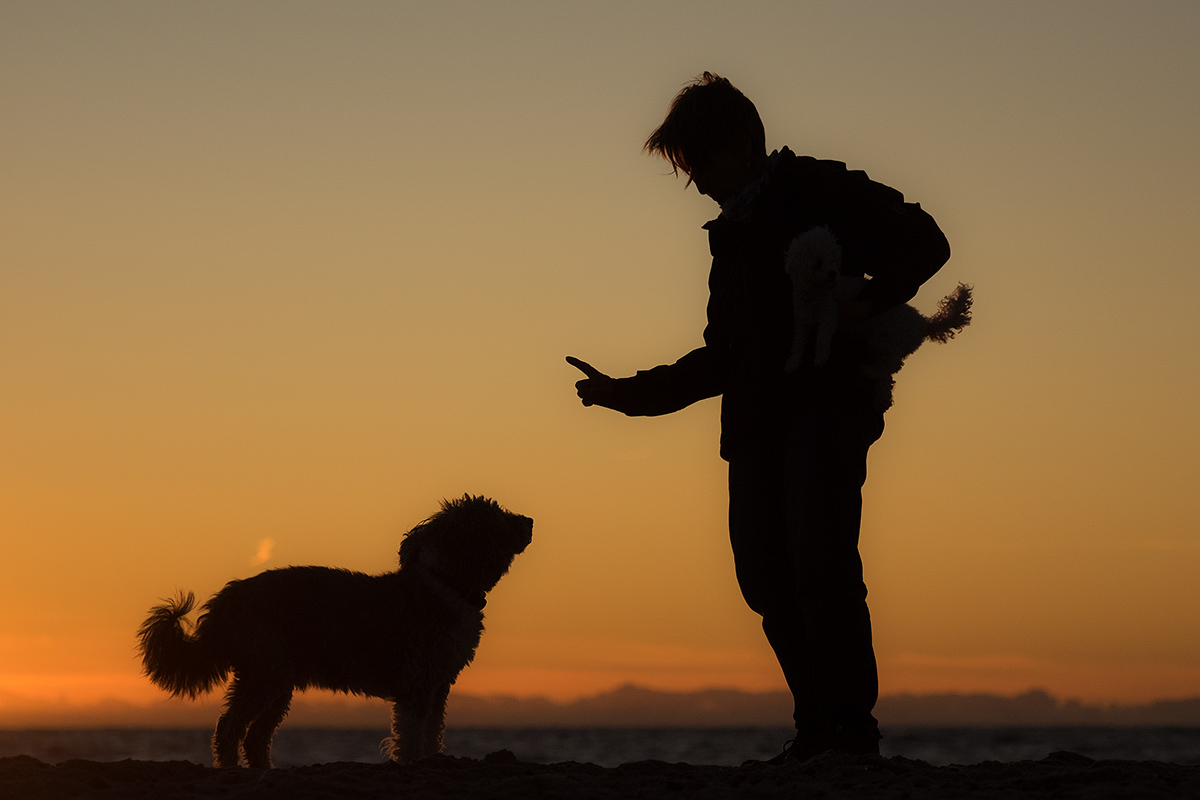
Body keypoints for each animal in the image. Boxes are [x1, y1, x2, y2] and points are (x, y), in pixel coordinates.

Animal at [137, 494, 530, 767]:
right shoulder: (418, 684)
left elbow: (433, 733)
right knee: (229, 727)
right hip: (265, 674)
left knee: (255, 737)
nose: (529, 519)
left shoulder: (438, 687)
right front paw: (412, 762)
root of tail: (227, 599)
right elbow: (412, 735)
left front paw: (431, 759)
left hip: (278, 681)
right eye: (500, 517)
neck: (446, 584)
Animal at [782, 225, 969, 410]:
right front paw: (792, 362)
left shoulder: (829, 317)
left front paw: (820, 358)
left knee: (892, 366)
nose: (833, 274)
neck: (814, 295)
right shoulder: (802, 322)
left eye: (833, 261)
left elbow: (823, 338)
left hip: (885, 340)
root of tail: (923, 323)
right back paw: (881, 398)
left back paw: (869, 372)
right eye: (818, 263)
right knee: (887, 375)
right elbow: (798, 344)